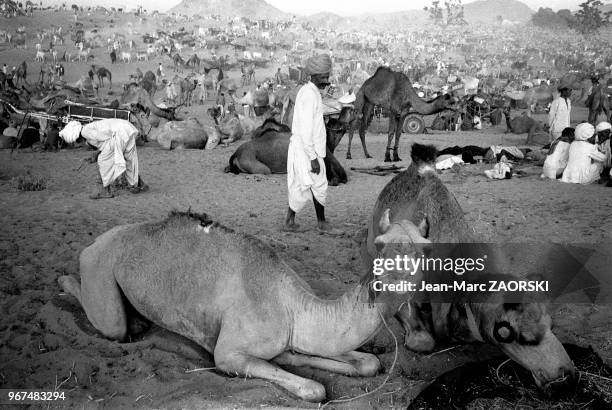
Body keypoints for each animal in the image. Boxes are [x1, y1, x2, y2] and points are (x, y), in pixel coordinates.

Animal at [57, 210, 430, 402]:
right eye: (380, 244)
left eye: (425, 247)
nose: (395, 273)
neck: (295, 307)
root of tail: (95, 242)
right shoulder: (229, 354)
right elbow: (314, 389)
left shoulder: (293, 338)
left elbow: (367, 363)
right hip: (101, 270)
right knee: (112, 324)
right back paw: (64, 282)